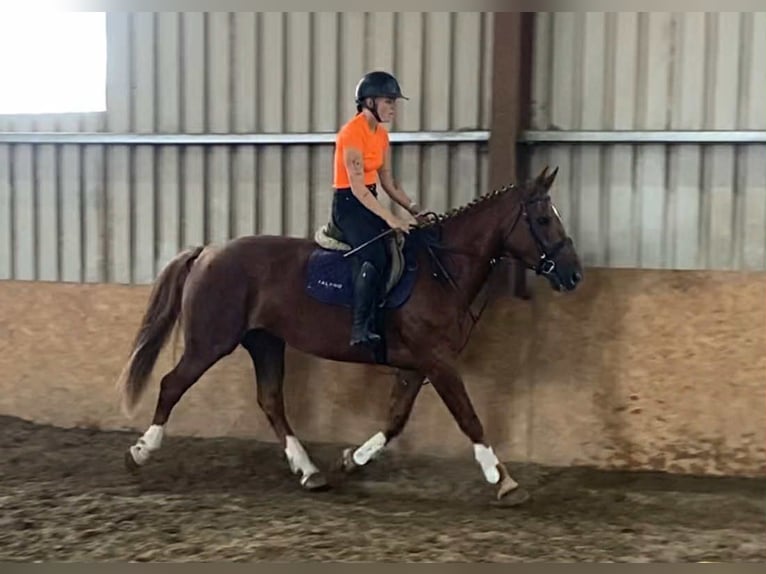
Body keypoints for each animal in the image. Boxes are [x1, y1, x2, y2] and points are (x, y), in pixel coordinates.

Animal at [115, 165, 583, 505]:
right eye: (543, 219)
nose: (574, 274)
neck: (440, 268)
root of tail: (208, 251)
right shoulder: (437, 361)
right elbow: (468, 417)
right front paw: (503, 479)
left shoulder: (418, 363)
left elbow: (395, 420)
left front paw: (351, 461)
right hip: (211, 341)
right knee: (172, 384)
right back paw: (141, 452)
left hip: (265, 342)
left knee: (271, 401)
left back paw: (310, 472)